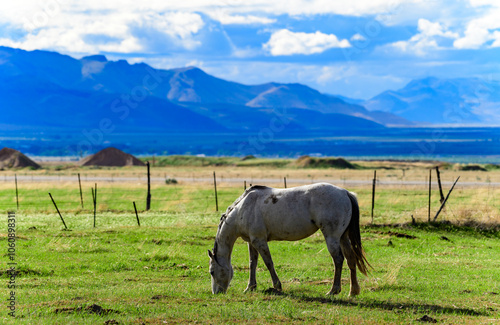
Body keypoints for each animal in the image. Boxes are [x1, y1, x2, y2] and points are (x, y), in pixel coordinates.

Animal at [208, 182, 372, 296]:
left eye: (211, 271)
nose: (216, 293)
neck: (243, 209)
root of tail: (345, 193)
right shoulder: (251, 242)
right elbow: (252, 263)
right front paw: (250, 287)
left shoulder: (259, 241)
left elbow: (268, 263)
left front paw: (277, 286)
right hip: (343, 237)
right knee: (351, 259)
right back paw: (353, 291)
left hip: (332, 237)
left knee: (338, 260)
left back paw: (334, 290)